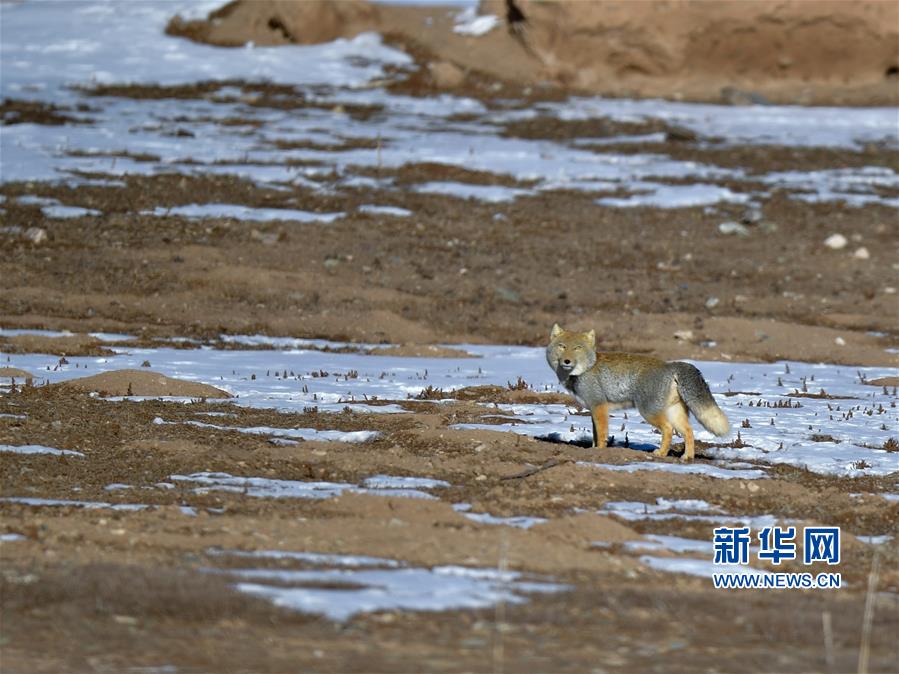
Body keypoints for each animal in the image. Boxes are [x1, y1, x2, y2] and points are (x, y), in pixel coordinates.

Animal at [548, 322, 732, 460]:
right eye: (562, 346)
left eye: (577, 348)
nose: (567, 361)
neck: (585, 370)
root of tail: (670, 365)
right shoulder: (593, 408)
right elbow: (595, 433)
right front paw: (592, 449)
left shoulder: (599, 406)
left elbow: (601, 434)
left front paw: (599, 451)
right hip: (674, 413)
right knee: (688, 431)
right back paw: (687, 456)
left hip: (649, 412)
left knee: (668, 429)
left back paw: (661, 453)